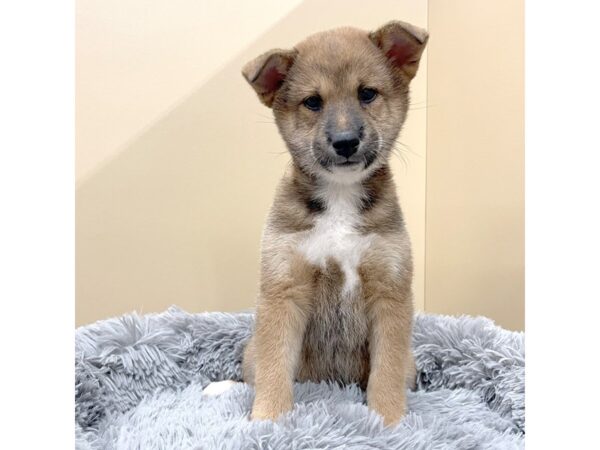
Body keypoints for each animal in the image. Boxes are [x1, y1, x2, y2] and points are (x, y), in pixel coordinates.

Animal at [206, 20, 426, 426]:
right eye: (312, 101)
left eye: (367, 93)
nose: (345, 142)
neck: (340, 197)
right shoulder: (284, 289)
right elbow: (274, 368)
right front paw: (268, 420)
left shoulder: (390, 292)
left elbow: (386, 372)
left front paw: (388, 422)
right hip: (251, 348)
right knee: (252, 373)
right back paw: (222, 387)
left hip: (411, 361)